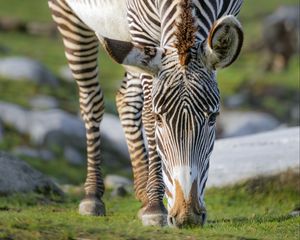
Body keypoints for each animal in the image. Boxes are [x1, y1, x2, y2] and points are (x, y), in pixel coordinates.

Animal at [47, 0, 244, 228]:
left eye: (213, 117)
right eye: (159, 119)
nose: (187, 217)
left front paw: (151, 201)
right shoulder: (142, 30)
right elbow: (148, 114)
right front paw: (155, 207)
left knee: (125, 98)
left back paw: (142, 193)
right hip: (69, 15)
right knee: (91, 101)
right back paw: (93, 195)